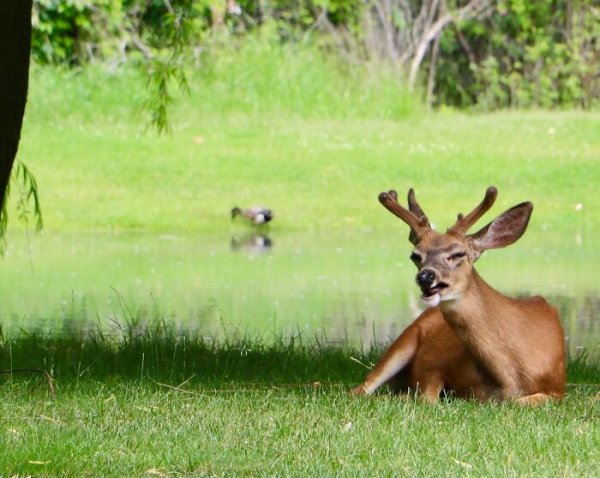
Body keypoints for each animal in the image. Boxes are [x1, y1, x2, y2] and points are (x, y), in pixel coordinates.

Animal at [350, 187, 564, 404]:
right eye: (415, 256)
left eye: (458, 254)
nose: (425, 276)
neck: (511, 377)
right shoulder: (435, 363)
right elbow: (429, 394)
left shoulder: (558, 388)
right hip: (404, 339)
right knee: (358, 390)